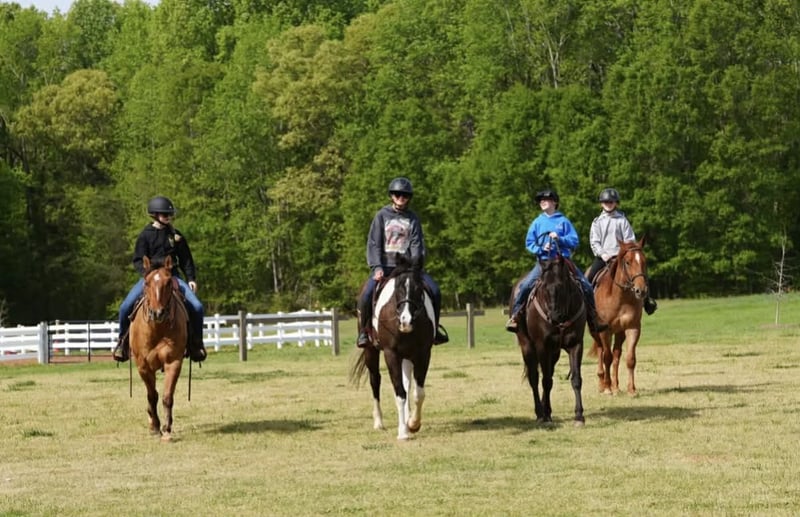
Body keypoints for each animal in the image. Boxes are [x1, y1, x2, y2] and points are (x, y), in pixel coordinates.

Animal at [129, 255, 189, 441]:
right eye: (147, 283)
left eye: (168, 282)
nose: (158, 313)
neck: (157, 329)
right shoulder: (143, 366)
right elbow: (152, 396)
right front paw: (155, 426)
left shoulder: (173, 362)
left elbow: (167, 396)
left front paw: (167, 428)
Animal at [350, 256, 435, 440]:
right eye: (398, 288)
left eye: (419, 288)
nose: (406, 321)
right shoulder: (391, 354)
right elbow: (400, 393)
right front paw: (403, 432)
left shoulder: (423, 354)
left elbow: (418, 393)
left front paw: (413, 424)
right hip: (370, 351)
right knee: (375, 380)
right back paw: (379, 422)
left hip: (407, 356)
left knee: (407, 383)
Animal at [509, 254, 586, 426]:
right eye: (543, 287)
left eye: (562, 286)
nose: (553, 316)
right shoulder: (542, 346)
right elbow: (545, 381)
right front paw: (546, 415)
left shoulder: (576, 344)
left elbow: (576, 379)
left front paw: (579, 416)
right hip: (527, 347)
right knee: (535, 378)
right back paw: (540, 413)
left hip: (554, 353)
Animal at [588, 238, 649, 395]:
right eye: (627, 262)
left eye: (644, 261)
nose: (641, 290)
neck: (620, 297)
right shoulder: (605, 331)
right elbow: (607, 357)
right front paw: (607, 388)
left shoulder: (632, 328)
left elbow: (630, 359)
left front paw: (631, 389)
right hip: (595, 332)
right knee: (601, 351)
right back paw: (602, 384)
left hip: (620, 333)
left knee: (616, 354)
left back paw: (616, 386)